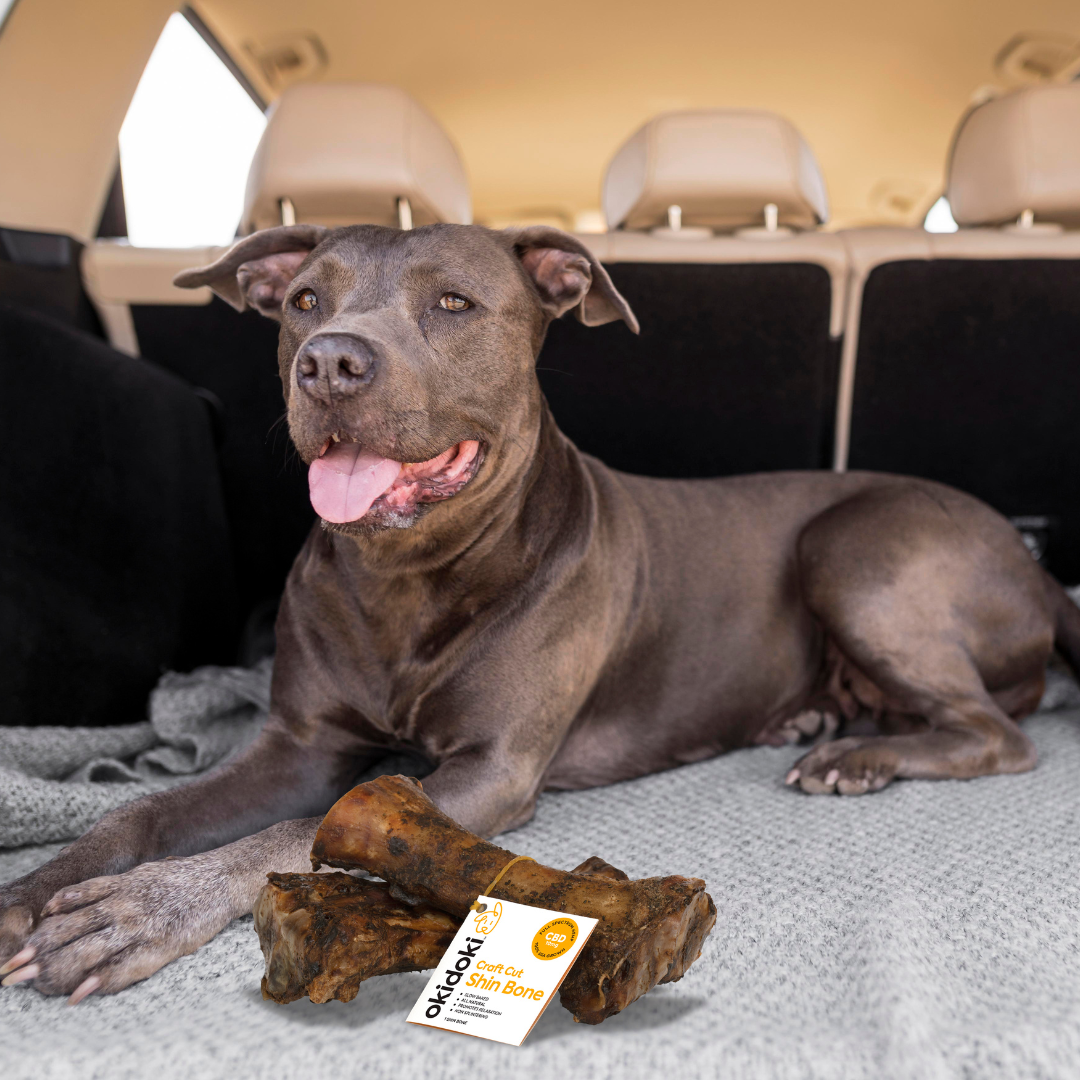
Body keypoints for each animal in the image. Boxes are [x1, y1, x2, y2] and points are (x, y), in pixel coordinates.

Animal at [2, 223, 1078, 1003]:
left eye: (453, 302)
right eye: (304, 301)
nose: (330, 362)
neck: (405, 579)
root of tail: (1038, 575)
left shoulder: (491, 769)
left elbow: (286, 836)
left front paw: (140, 912)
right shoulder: (296, 748)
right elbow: (144, 809)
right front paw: (41, 888)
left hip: (850, 546)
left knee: (1001, 732)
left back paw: (859, 758)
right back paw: (817, 719)